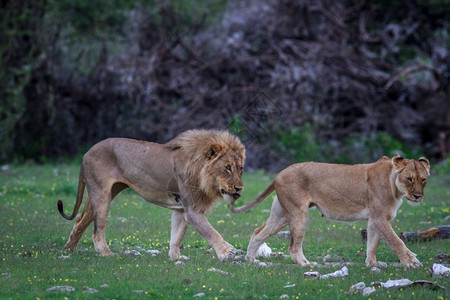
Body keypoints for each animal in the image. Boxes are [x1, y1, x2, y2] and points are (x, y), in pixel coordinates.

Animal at [58, 129, 246, 260]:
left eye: (240, 168)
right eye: (227, 167)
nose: (239, 188)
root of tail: (87, 152)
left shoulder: (181, 209)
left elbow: (176, 236)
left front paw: (175, 258)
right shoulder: (192, 210)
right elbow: (211, 232)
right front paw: (228, 252)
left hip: (101, 194)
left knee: (79, 222)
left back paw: (70, 250)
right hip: (102, 195)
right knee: (97, 231)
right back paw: (107, 254)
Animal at [234, 155, 430, 268]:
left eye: (423, 180)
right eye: (409, 179)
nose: (418, 196)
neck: (395, 187)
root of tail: (278, 174)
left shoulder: (375, 219)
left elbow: (373, 243)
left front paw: (372, 264)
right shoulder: (380, 218)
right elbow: (396, 241)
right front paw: (411, 262)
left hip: (281, 215)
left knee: (258, 233)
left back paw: (251, 260)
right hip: (298, 213)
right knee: (293, 247)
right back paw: (307, 264)